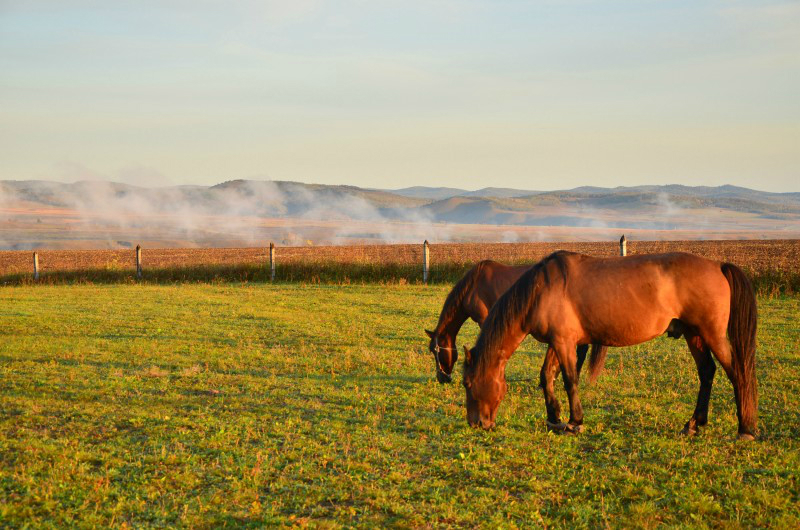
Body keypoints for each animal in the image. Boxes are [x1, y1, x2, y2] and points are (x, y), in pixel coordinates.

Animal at [462, 250, 756, 440]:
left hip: (711, 335)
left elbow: (570, 380)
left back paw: (745, 429)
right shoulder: (557, 343)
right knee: (707, 372)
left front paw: (575, 422)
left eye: (467, 383)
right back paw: (693, 424)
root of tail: (718, 265)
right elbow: (547, 377)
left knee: (737, 373)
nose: (476, 424)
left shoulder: (564, 343)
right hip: (694, 335)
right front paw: (554, 418)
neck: (540, 290)